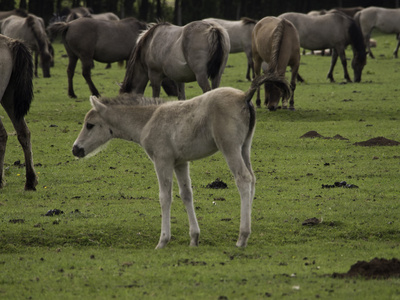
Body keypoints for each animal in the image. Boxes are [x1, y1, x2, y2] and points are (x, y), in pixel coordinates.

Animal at [72, 72, 290, 248]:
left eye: (89, 125)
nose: (76, 149)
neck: (148, 120)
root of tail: (244, 96)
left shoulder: (162, 161)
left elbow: (165, 197)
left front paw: (162, 241)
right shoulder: (180, 163)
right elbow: (186, 194)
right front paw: (194, 238)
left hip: (230, 147)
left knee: (243, 179)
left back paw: (242, 237)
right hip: (244, 147)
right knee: (252, 179)